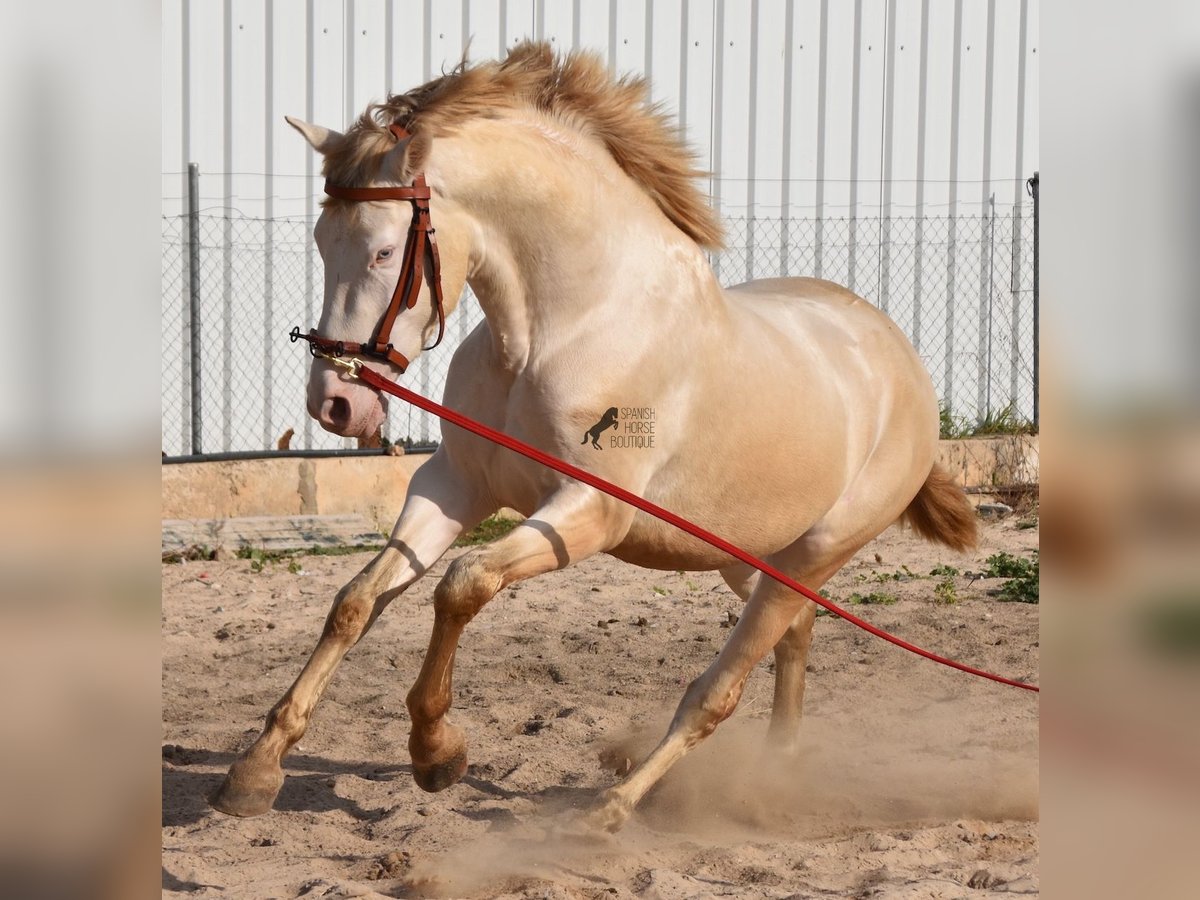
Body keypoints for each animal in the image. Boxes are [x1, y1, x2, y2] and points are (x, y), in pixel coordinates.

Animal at [211, 40, 979, 830]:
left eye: (385, 253)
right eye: (320, 240)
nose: (335, 404)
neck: (560, 328)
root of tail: (900, 357)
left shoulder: (589, 514)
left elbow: (462, 585)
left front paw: (436, 751)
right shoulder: (456, 483)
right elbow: (357, 601)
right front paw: (255, 772)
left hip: (814, 557)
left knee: (719, 691)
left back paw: (613, 809)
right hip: (748, 557)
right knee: (794, 637)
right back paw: (771, 780)